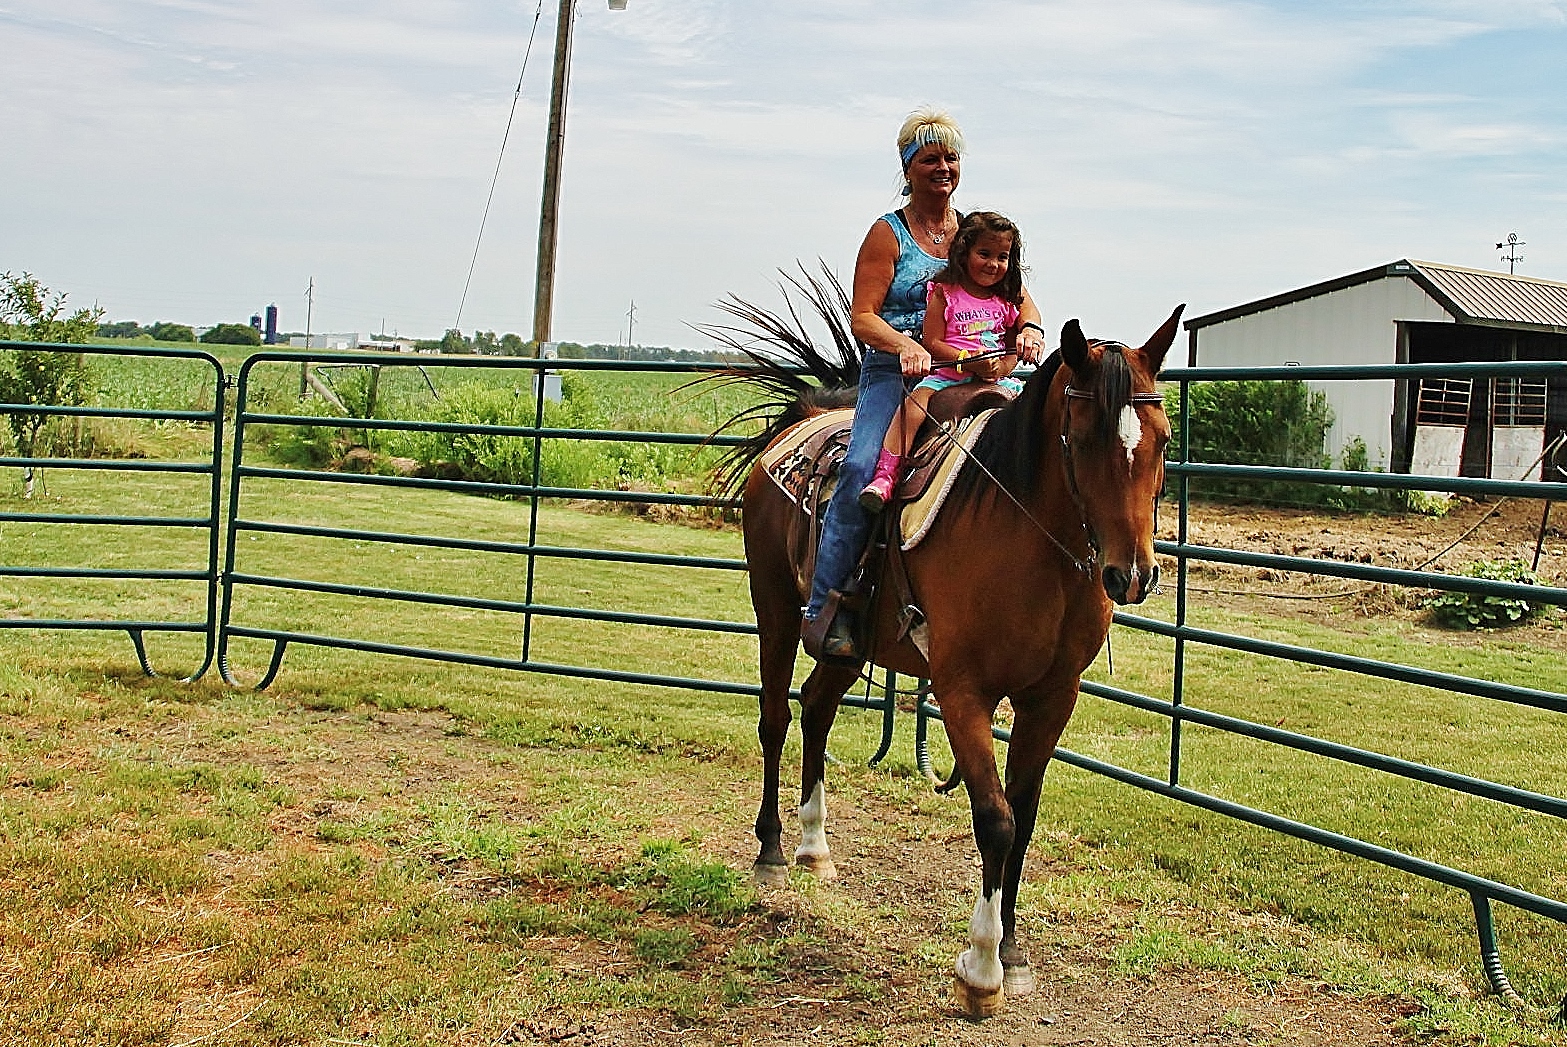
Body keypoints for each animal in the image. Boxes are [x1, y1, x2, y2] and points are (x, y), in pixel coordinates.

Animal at [706, 277, 1182, 1018]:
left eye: (1159, 439)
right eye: (1082, 437)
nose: (1129, 574)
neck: (1026, 532)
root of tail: (799, 426)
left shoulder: (1052, 698)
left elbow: (1025, 814)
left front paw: (1012, 952)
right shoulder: (963, 694)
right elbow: (995, 819)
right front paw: (980, 971)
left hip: (845, 643)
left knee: (815, 708)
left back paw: (815, 845)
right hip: (776, 611)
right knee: (776, 717)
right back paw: (774, 850)